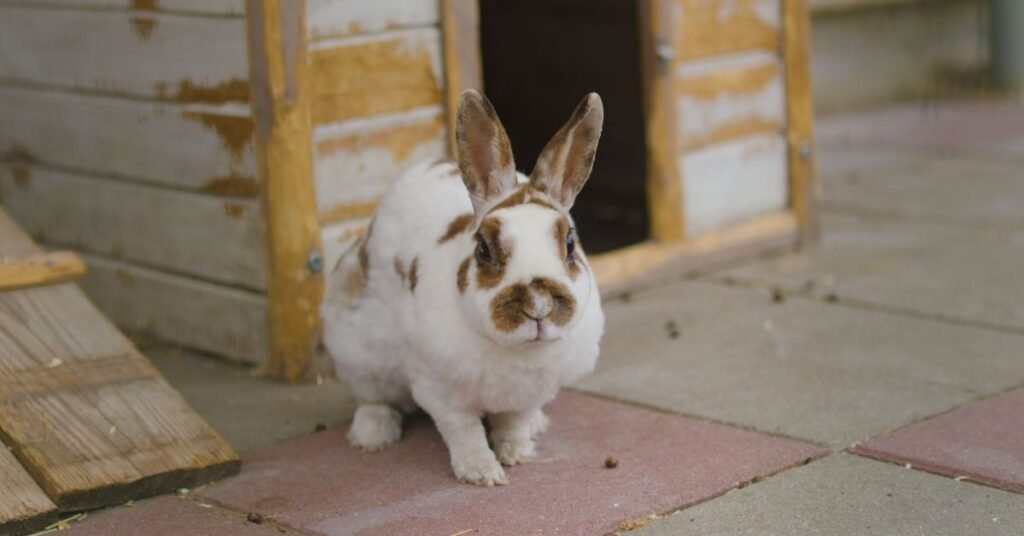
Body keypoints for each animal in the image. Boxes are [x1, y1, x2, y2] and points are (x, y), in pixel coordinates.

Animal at [321, 89, 605, 486]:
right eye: (484, 249)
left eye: (569, 243)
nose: (538, 306)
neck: (520, 352)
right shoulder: (441, 391)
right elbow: (464, 432)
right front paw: (482, 472)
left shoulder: (530, 392)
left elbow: (514, 422)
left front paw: (517, 453)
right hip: (356, 351)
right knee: (375, 399)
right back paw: (373, 435)